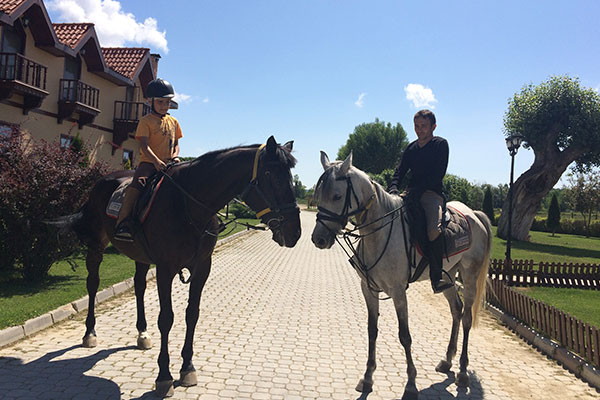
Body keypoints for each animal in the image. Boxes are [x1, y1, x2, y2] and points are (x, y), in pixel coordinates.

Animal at [48, 137, 300, 396]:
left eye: (291, 178)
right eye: (272, 175)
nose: (295, 232)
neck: (189, 206)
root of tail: (101, 182)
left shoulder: (202, 268)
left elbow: (192, 314)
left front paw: (187, 367)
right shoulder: (165, 269)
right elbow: (166, 318)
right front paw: (164, 376)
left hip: (140, 255)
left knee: (139, 286)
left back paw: (142, 333)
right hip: (96, 244)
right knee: (93, 284)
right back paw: (90, 333)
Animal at [312, 152, 490, 398]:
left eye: (337, 196)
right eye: (320, 194)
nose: (318, 239)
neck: (379, 233)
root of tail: (474, 214)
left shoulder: (398, 292)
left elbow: (404, 336)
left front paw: (411, 384)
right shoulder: (368, 289)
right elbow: (372, 330)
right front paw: (367, 377)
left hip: (470, 277)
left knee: (466, 318)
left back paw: (462, 371)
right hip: (448, 278)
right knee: (456, 310)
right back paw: (447, 360)